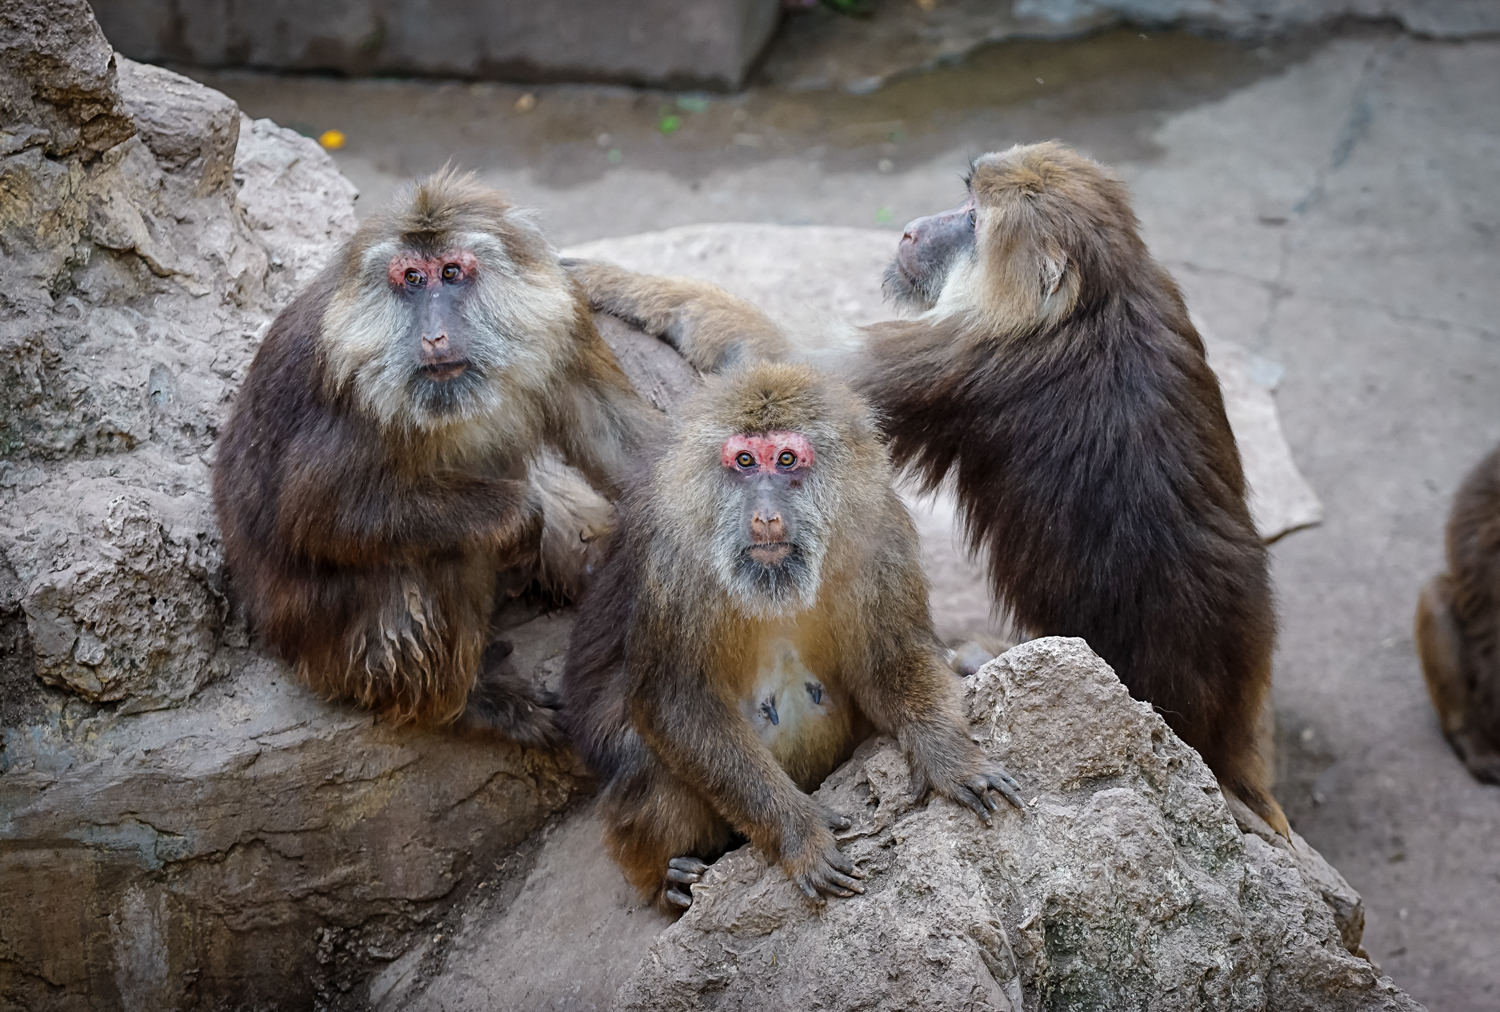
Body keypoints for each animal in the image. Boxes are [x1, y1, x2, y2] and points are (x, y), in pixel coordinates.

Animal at [214, 169, 663, 748]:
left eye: (450, 273)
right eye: (411, 277)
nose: (433, 336)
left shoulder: (559, 319)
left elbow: (618, 436)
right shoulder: (354, 389)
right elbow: (316, 515)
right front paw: (519, 518)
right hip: (334, 653)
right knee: (440, 551)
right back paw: (468, 704)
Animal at [562, 361, 1023, 913]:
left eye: (785, 460)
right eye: (744, 460)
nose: (765, 514)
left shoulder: (879, 535)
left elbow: (891, 658)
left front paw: (949, 756)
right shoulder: (673, 562)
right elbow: (677, 700)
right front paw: (798, 834)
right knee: (641, 756)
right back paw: (671, 881)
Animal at [573, 141, 1289, 836]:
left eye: (972, 219)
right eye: (965, 199)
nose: (913, 230)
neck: (1096, 297)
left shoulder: (960, 351)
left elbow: (788, 359)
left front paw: (610, 279)